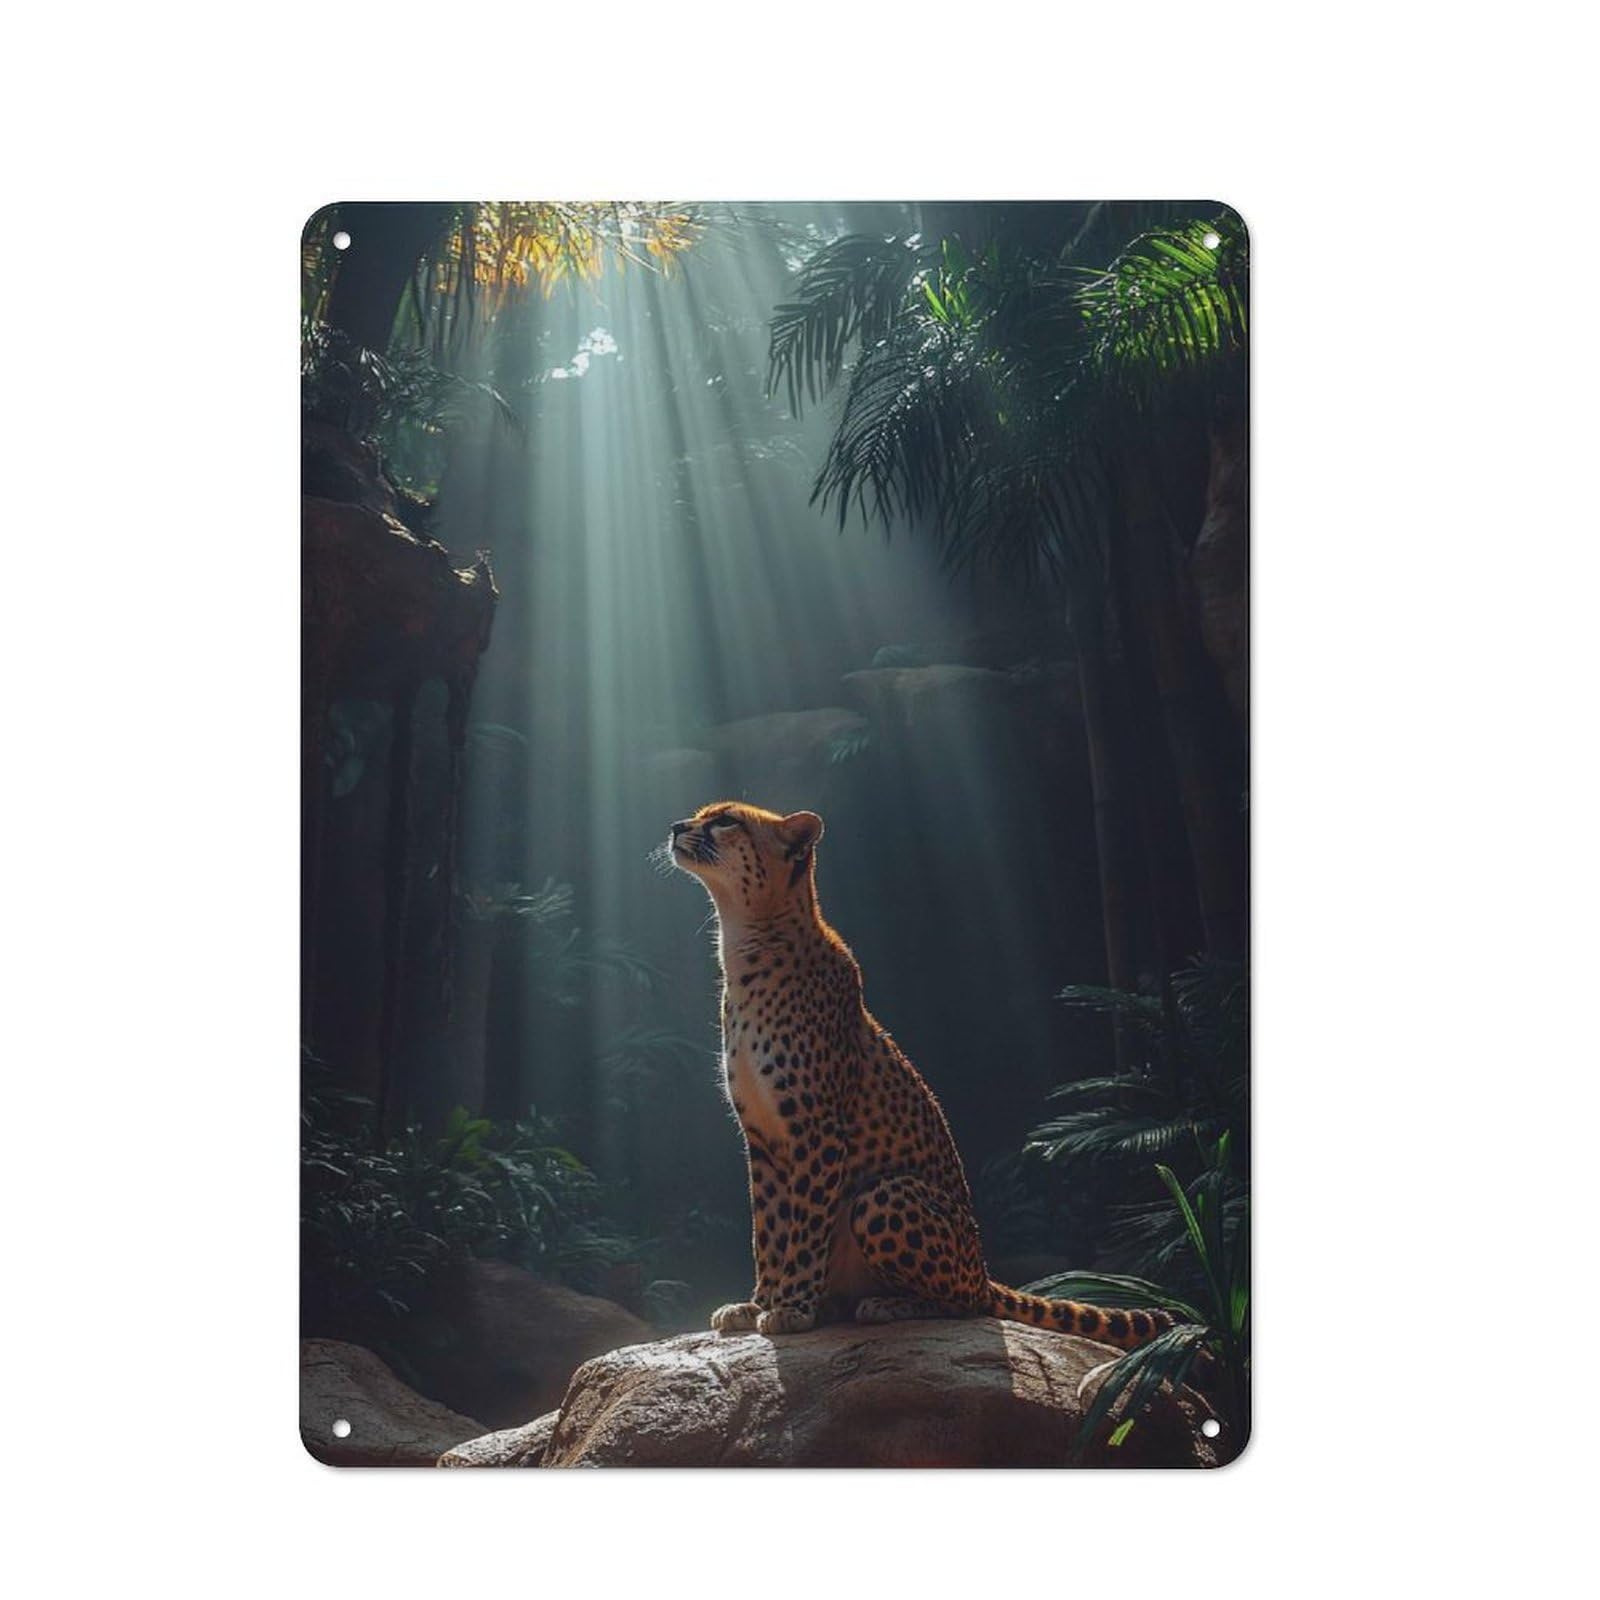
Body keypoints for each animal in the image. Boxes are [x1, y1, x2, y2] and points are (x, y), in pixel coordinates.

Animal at [668, 799, 1178, 1349]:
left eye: (726, 821)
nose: (676, 827)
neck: (746, 939)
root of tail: (985, 1270)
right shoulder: (762, 1137)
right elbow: (769, 1229)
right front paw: (760, 1301)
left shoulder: (817, 1132)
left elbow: (803, 1228)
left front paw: (792, 1307)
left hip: (885, 1194)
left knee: (965, 1304)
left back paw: (888, 1305)